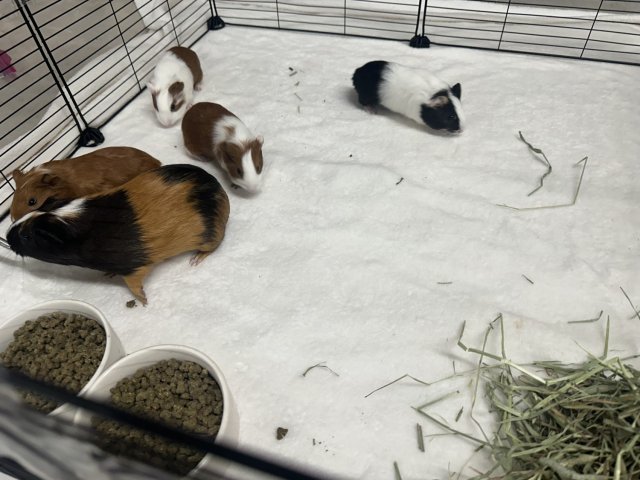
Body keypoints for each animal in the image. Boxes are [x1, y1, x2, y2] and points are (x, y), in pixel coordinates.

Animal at [7, 164, 230, 305]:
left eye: (27, 236)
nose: (8, 236)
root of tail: (220, 190)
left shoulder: (134, 269)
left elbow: (134, 286)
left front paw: (144, 301)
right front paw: (109, 275)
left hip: (209, 238)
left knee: (212, 247)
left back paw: (195, 260)